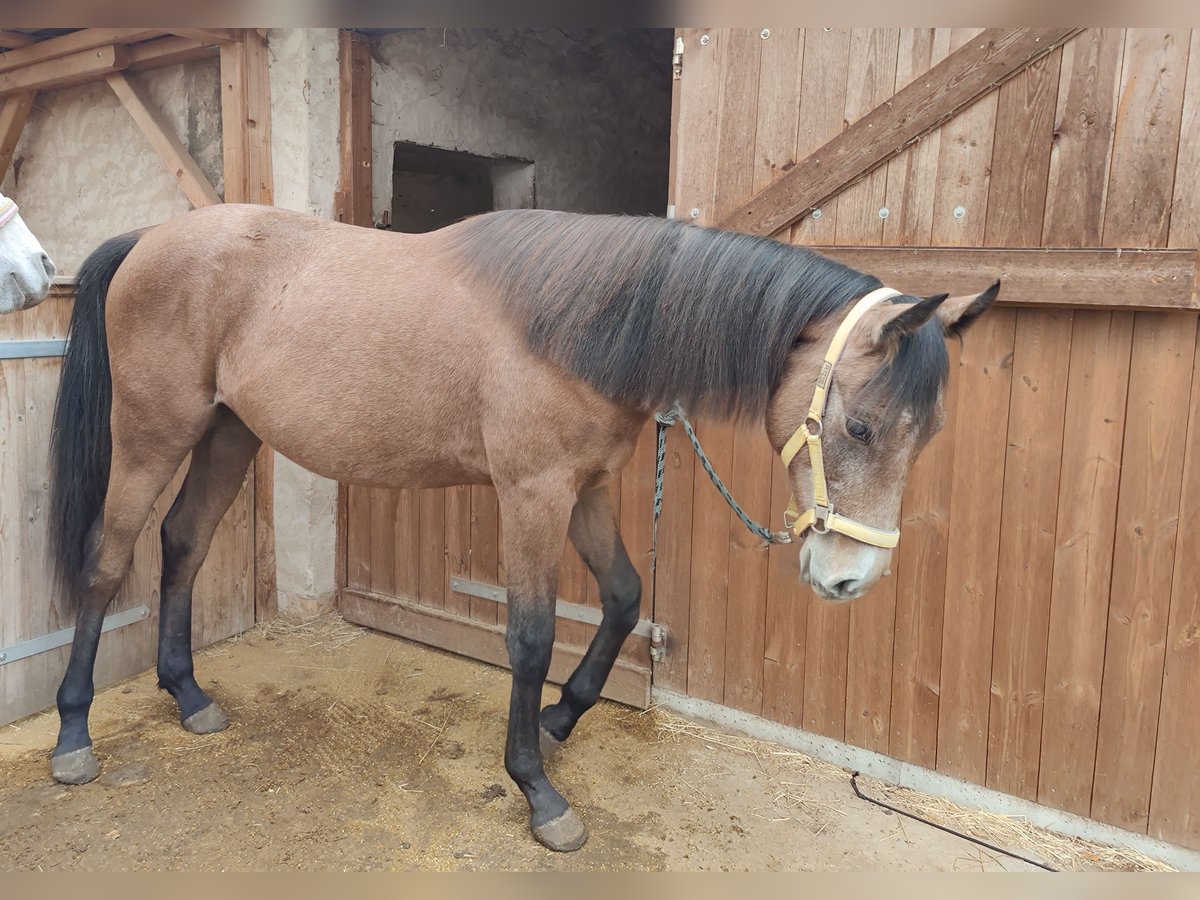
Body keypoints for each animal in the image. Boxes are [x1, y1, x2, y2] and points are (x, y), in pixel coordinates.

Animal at [37, 204, 998, 854]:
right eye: (861, 427)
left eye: (927, 435)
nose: (848, 579)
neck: (582, 323)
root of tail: (149, 239)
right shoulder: (532, 495)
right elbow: (530, 636)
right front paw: (538, 790)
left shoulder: (586, 490)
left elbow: (623, 597)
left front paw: (562, 717)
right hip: (152, 434)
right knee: (106, 561)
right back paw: (74, 735)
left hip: (229, 432)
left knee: (183, 543)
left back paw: (188, 693)